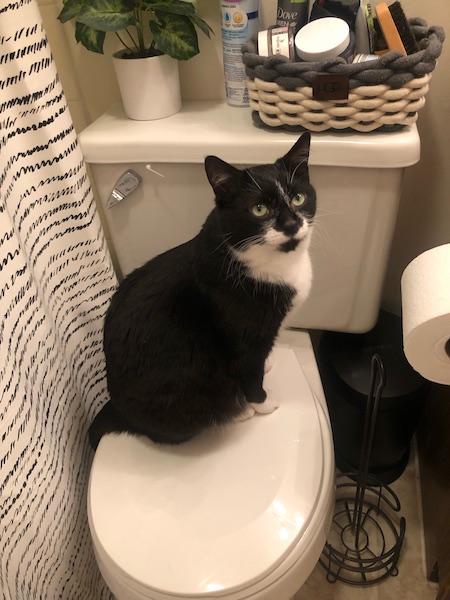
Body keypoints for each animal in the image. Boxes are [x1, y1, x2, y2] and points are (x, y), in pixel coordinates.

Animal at [89, 132, 316, 450]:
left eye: (298, 197)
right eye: (259, 209)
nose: (291, 223)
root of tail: (116, 410)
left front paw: (268, 365)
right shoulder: (245, 337)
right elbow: (249, 369)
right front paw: (262, 402)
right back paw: (238, 411)